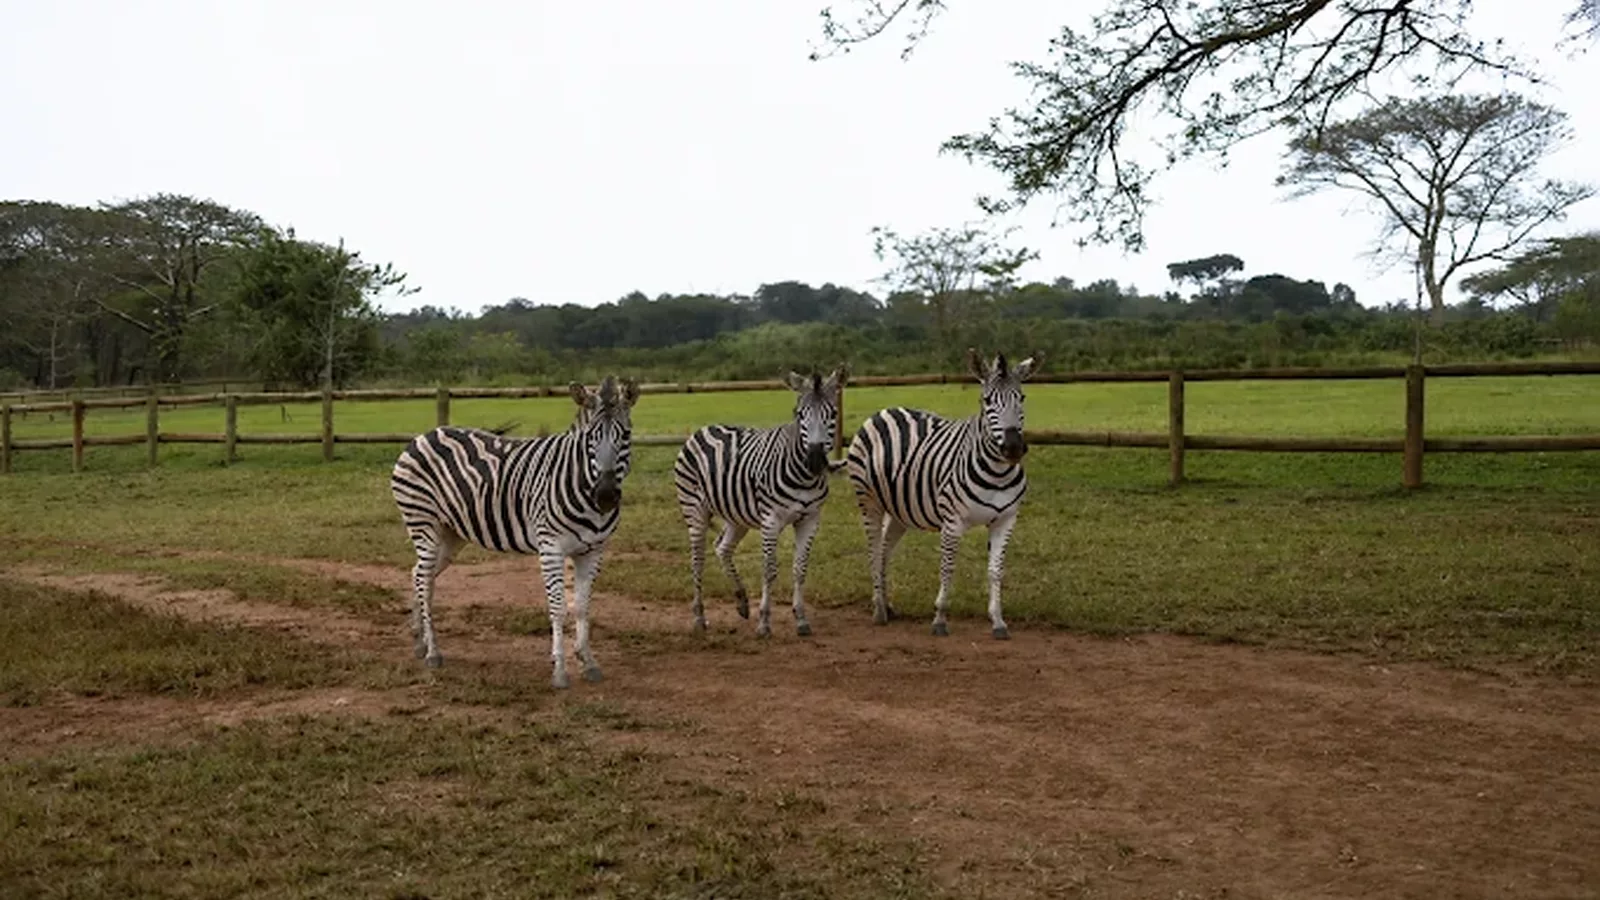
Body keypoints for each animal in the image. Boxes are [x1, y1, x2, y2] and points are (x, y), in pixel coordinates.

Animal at [390, 375, 640, 688]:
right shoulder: (551, 548)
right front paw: (560, 670)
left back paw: (420, 641)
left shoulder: (593, 550)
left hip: (451, 534)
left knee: (420, 575)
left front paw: (588, 661)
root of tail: (423, 436)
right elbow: (559, 607)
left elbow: (582, 607)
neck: (577, 480)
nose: (605, 496)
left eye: (626, 435)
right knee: (424, 578)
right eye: (589, 439)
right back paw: (433, 652)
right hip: (423, 523)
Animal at [673, 366, 847, 637]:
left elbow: (800, 568)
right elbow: (769, 569)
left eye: (833, 414)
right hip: (694, 509)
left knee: (722, 547)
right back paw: (699, 617)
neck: (804, 476)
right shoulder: (771, 520)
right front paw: (764, 622)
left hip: (736, 516)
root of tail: (703, 429)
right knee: (698, 559)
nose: (815, 460)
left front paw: (801, 618)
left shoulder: (810, 520)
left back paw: (742, 601)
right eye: (799, 414)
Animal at [845, 349, 1038, 639]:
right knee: (874, 550)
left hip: (900, 511)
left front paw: (998, 621)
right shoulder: (953, 521)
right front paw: (939, 619)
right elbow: (947, 568)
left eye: (1022, 398)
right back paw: (879, 610)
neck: (997, 473)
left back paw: (886, 605)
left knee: (884, 551)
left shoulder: (1006, 521)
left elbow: (996, 571)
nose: (1014, 448)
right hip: (869, 501)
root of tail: (885, 410)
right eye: (987, 401)